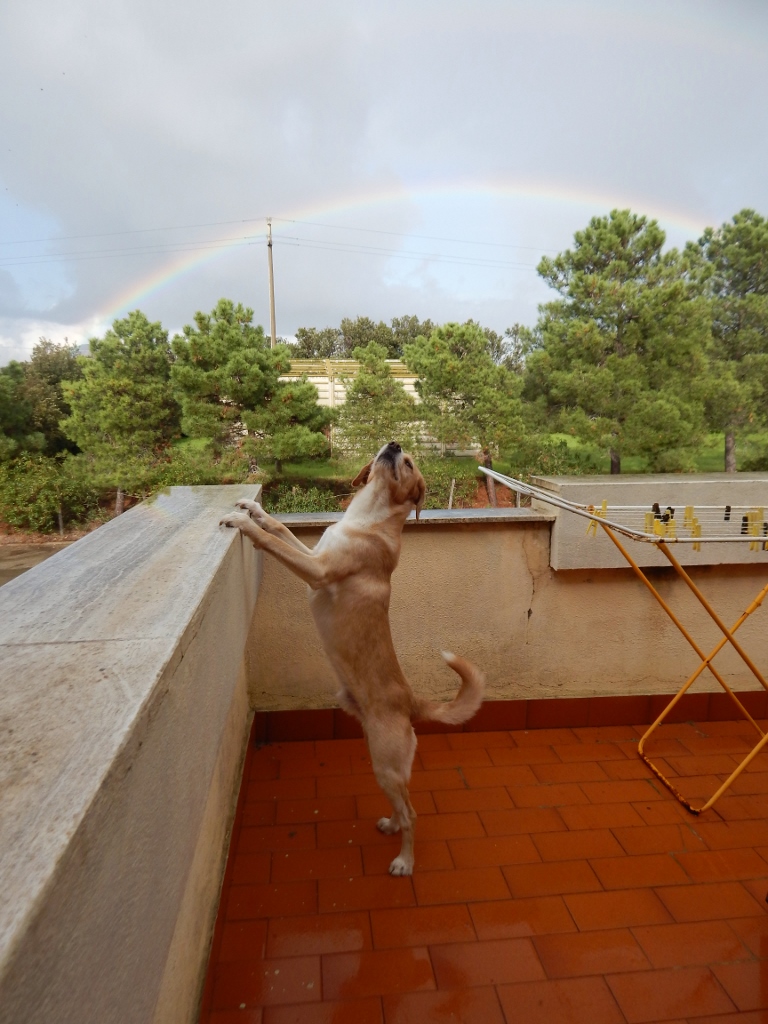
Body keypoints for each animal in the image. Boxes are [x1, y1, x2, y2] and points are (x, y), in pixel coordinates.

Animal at [220, 441, 484, 875]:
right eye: (397, 451)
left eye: (408, 462)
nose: (393, 444)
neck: (368, 518)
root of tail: (411, 700)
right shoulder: (315, 554)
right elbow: (281, 530)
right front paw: (255, 510)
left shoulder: (317, 570)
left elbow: (274, 542)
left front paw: (244, 524)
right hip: (383, 765)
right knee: (402, 807)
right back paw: (391, 824)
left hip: (385, 762)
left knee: (413, 814)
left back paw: (404, 861)